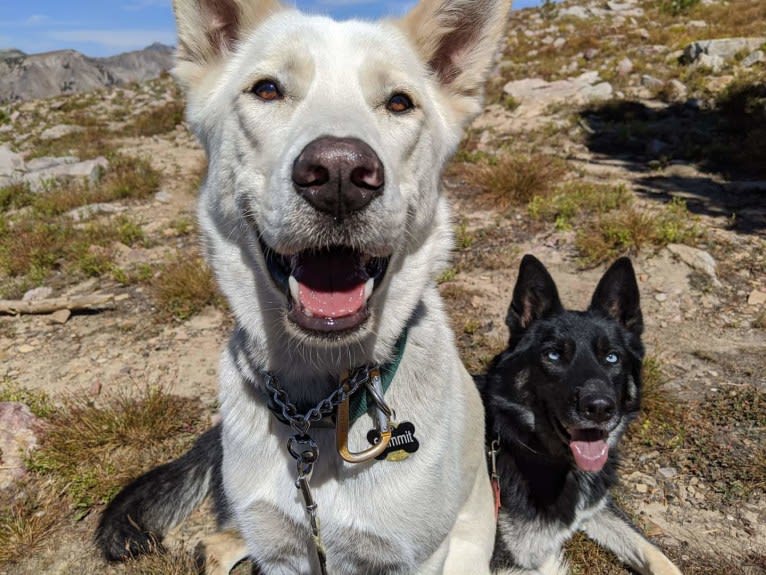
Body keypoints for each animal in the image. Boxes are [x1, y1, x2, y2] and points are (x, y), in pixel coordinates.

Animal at [99, 2, 512, 572]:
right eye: (267, 89)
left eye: (399, 102)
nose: (339, 173)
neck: (318, 410)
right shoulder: (282, 549)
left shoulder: (415, 555)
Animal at [480, 258, 684, 575]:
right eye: (553, 355)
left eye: (612, 357)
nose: (599, 408)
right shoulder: (499, 562)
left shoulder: (598, 507)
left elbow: (654, 553)